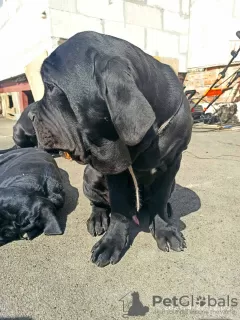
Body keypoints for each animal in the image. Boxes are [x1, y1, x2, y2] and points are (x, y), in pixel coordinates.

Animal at [27, 31, 193, 268]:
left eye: (50, 87)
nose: (30, 115)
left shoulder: (172, 163)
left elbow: (160, 199)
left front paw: (165, 228)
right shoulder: (114, 168)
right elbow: (119, 207)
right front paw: (112, 242)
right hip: (90, 176)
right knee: (99, 203)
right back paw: (98, 217)